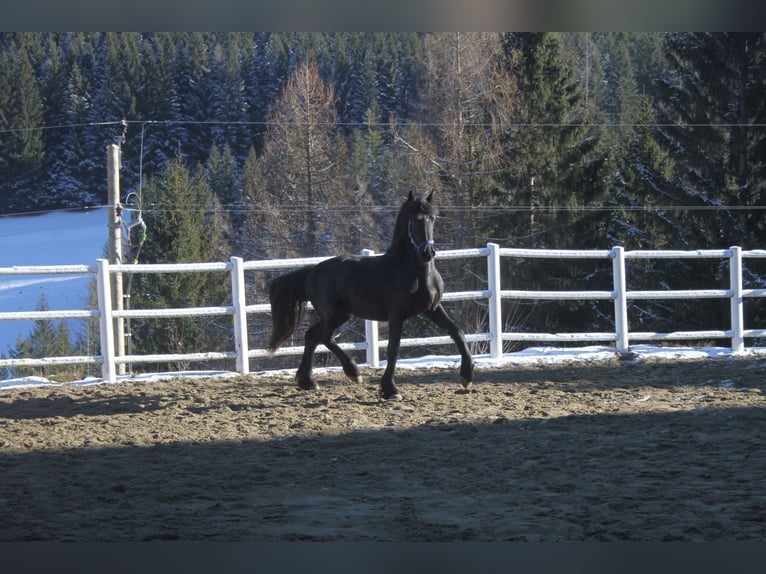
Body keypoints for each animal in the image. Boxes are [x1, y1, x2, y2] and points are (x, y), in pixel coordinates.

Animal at [268, 191, 474, 398]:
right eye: (414, 219)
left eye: (432, 218)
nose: (427, 252)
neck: (417, 274)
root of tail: (312, 271)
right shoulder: (397, 315)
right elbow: (393, 349)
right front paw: (390, 389)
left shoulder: (431, 309)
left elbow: (457, 332)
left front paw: (467, 376)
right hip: (334, 315)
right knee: (324, 337)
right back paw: (353, 373)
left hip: (340, 315)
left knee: (312, 336)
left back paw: (308, 382)